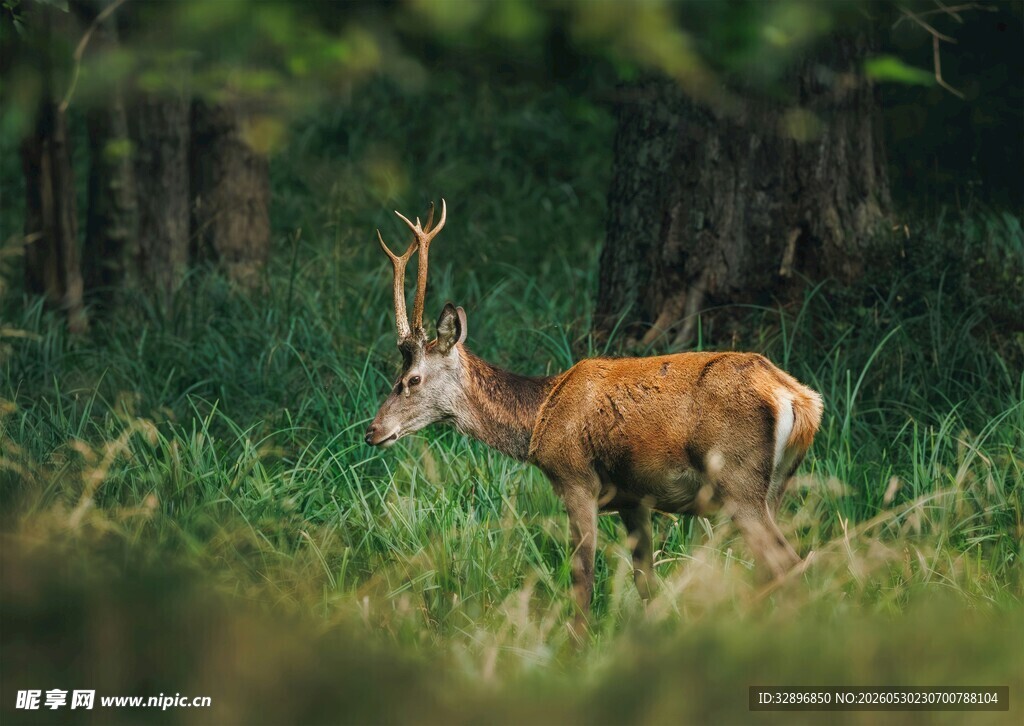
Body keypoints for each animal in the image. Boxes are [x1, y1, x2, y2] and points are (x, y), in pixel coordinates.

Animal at [365, 200, 824, 634]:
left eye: (411, 379)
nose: (372, 431)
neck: (539, 418)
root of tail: (801, 400)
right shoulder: (635, 498)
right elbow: (645, 579)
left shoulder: (576, 478)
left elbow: (582, 576)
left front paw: (576, 644)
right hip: (775, 486)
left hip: (738, 480)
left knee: (788, 564)